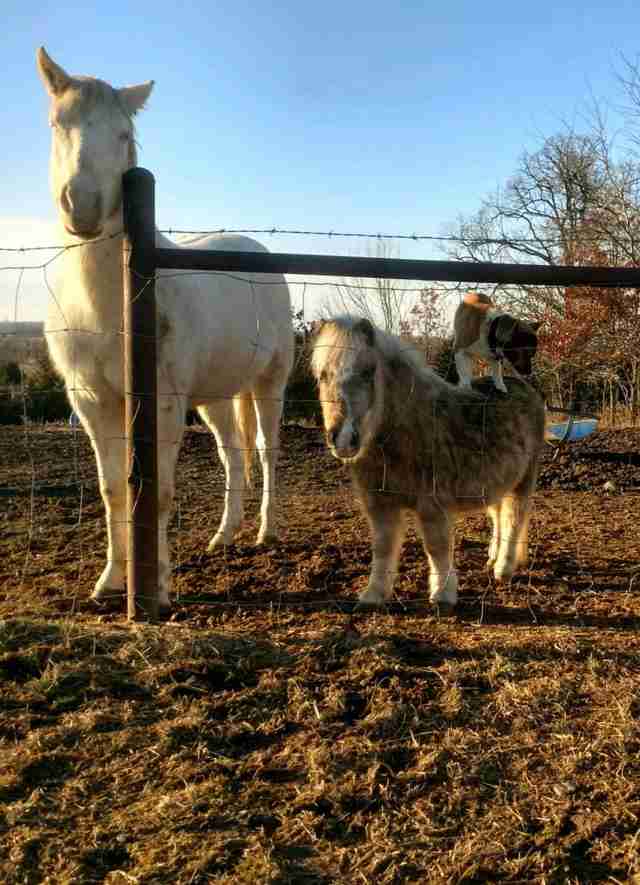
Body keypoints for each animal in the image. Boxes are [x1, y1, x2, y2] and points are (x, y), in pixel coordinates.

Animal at [37, 48, 292, 608]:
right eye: (57, 124)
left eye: (123, 135)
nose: (82, 207)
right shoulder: (93, 404)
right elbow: (114, 490)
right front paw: (111, 581)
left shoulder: (164, 403)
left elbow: (160, 490)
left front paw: (159, 584)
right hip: (216, 395)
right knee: (232, 454)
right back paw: (224, 535)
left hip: (270, 381)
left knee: (266, 451)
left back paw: (265, 532)